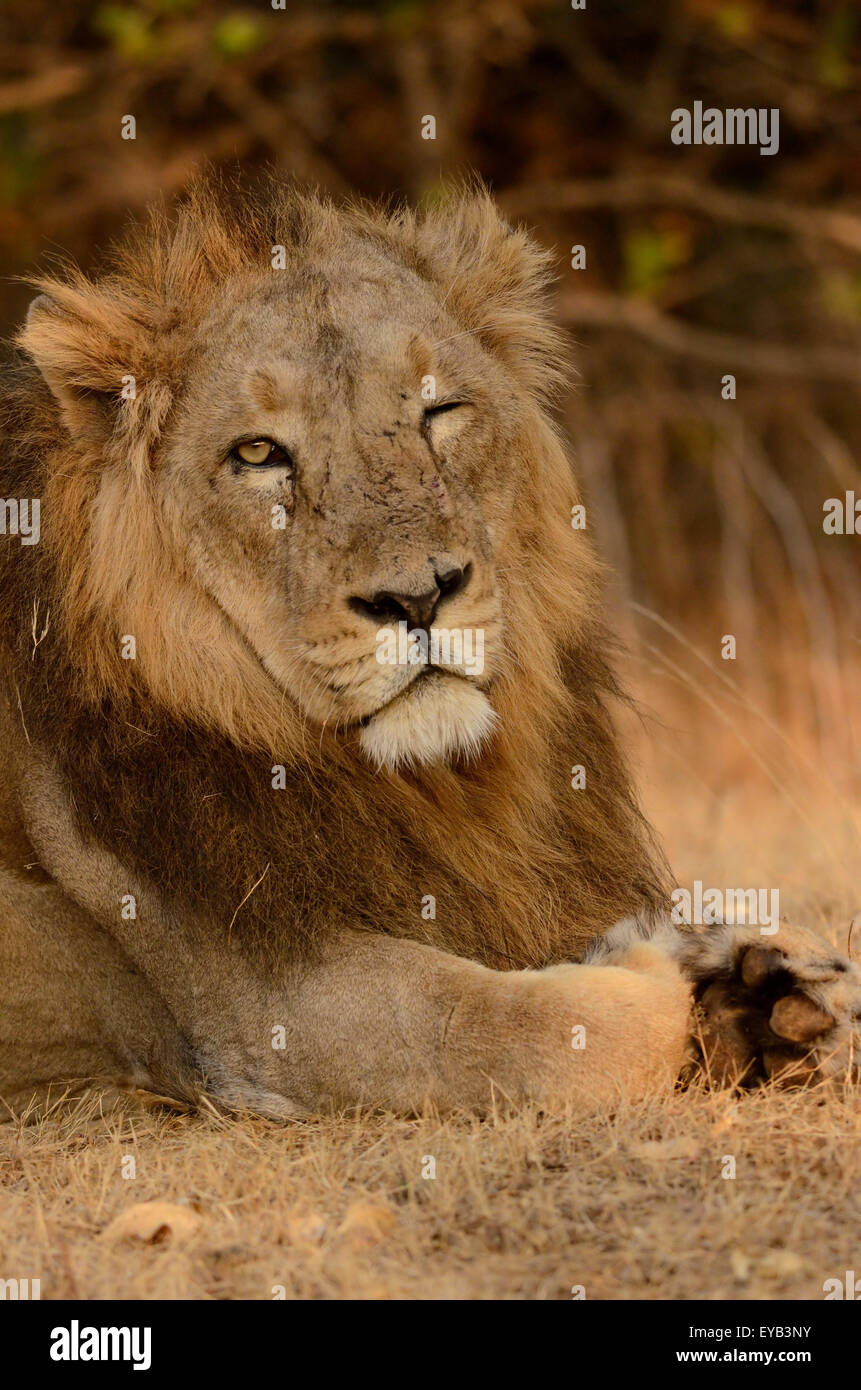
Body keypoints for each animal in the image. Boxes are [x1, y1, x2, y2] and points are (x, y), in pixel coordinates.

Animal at [1, 176, 861, 1117]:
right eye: (258, 452)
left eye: (439, 410)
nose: (415, 597)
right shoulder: (262, 1012)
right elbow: (539, 1028)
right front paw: (662, 964)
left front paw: (771, 991)